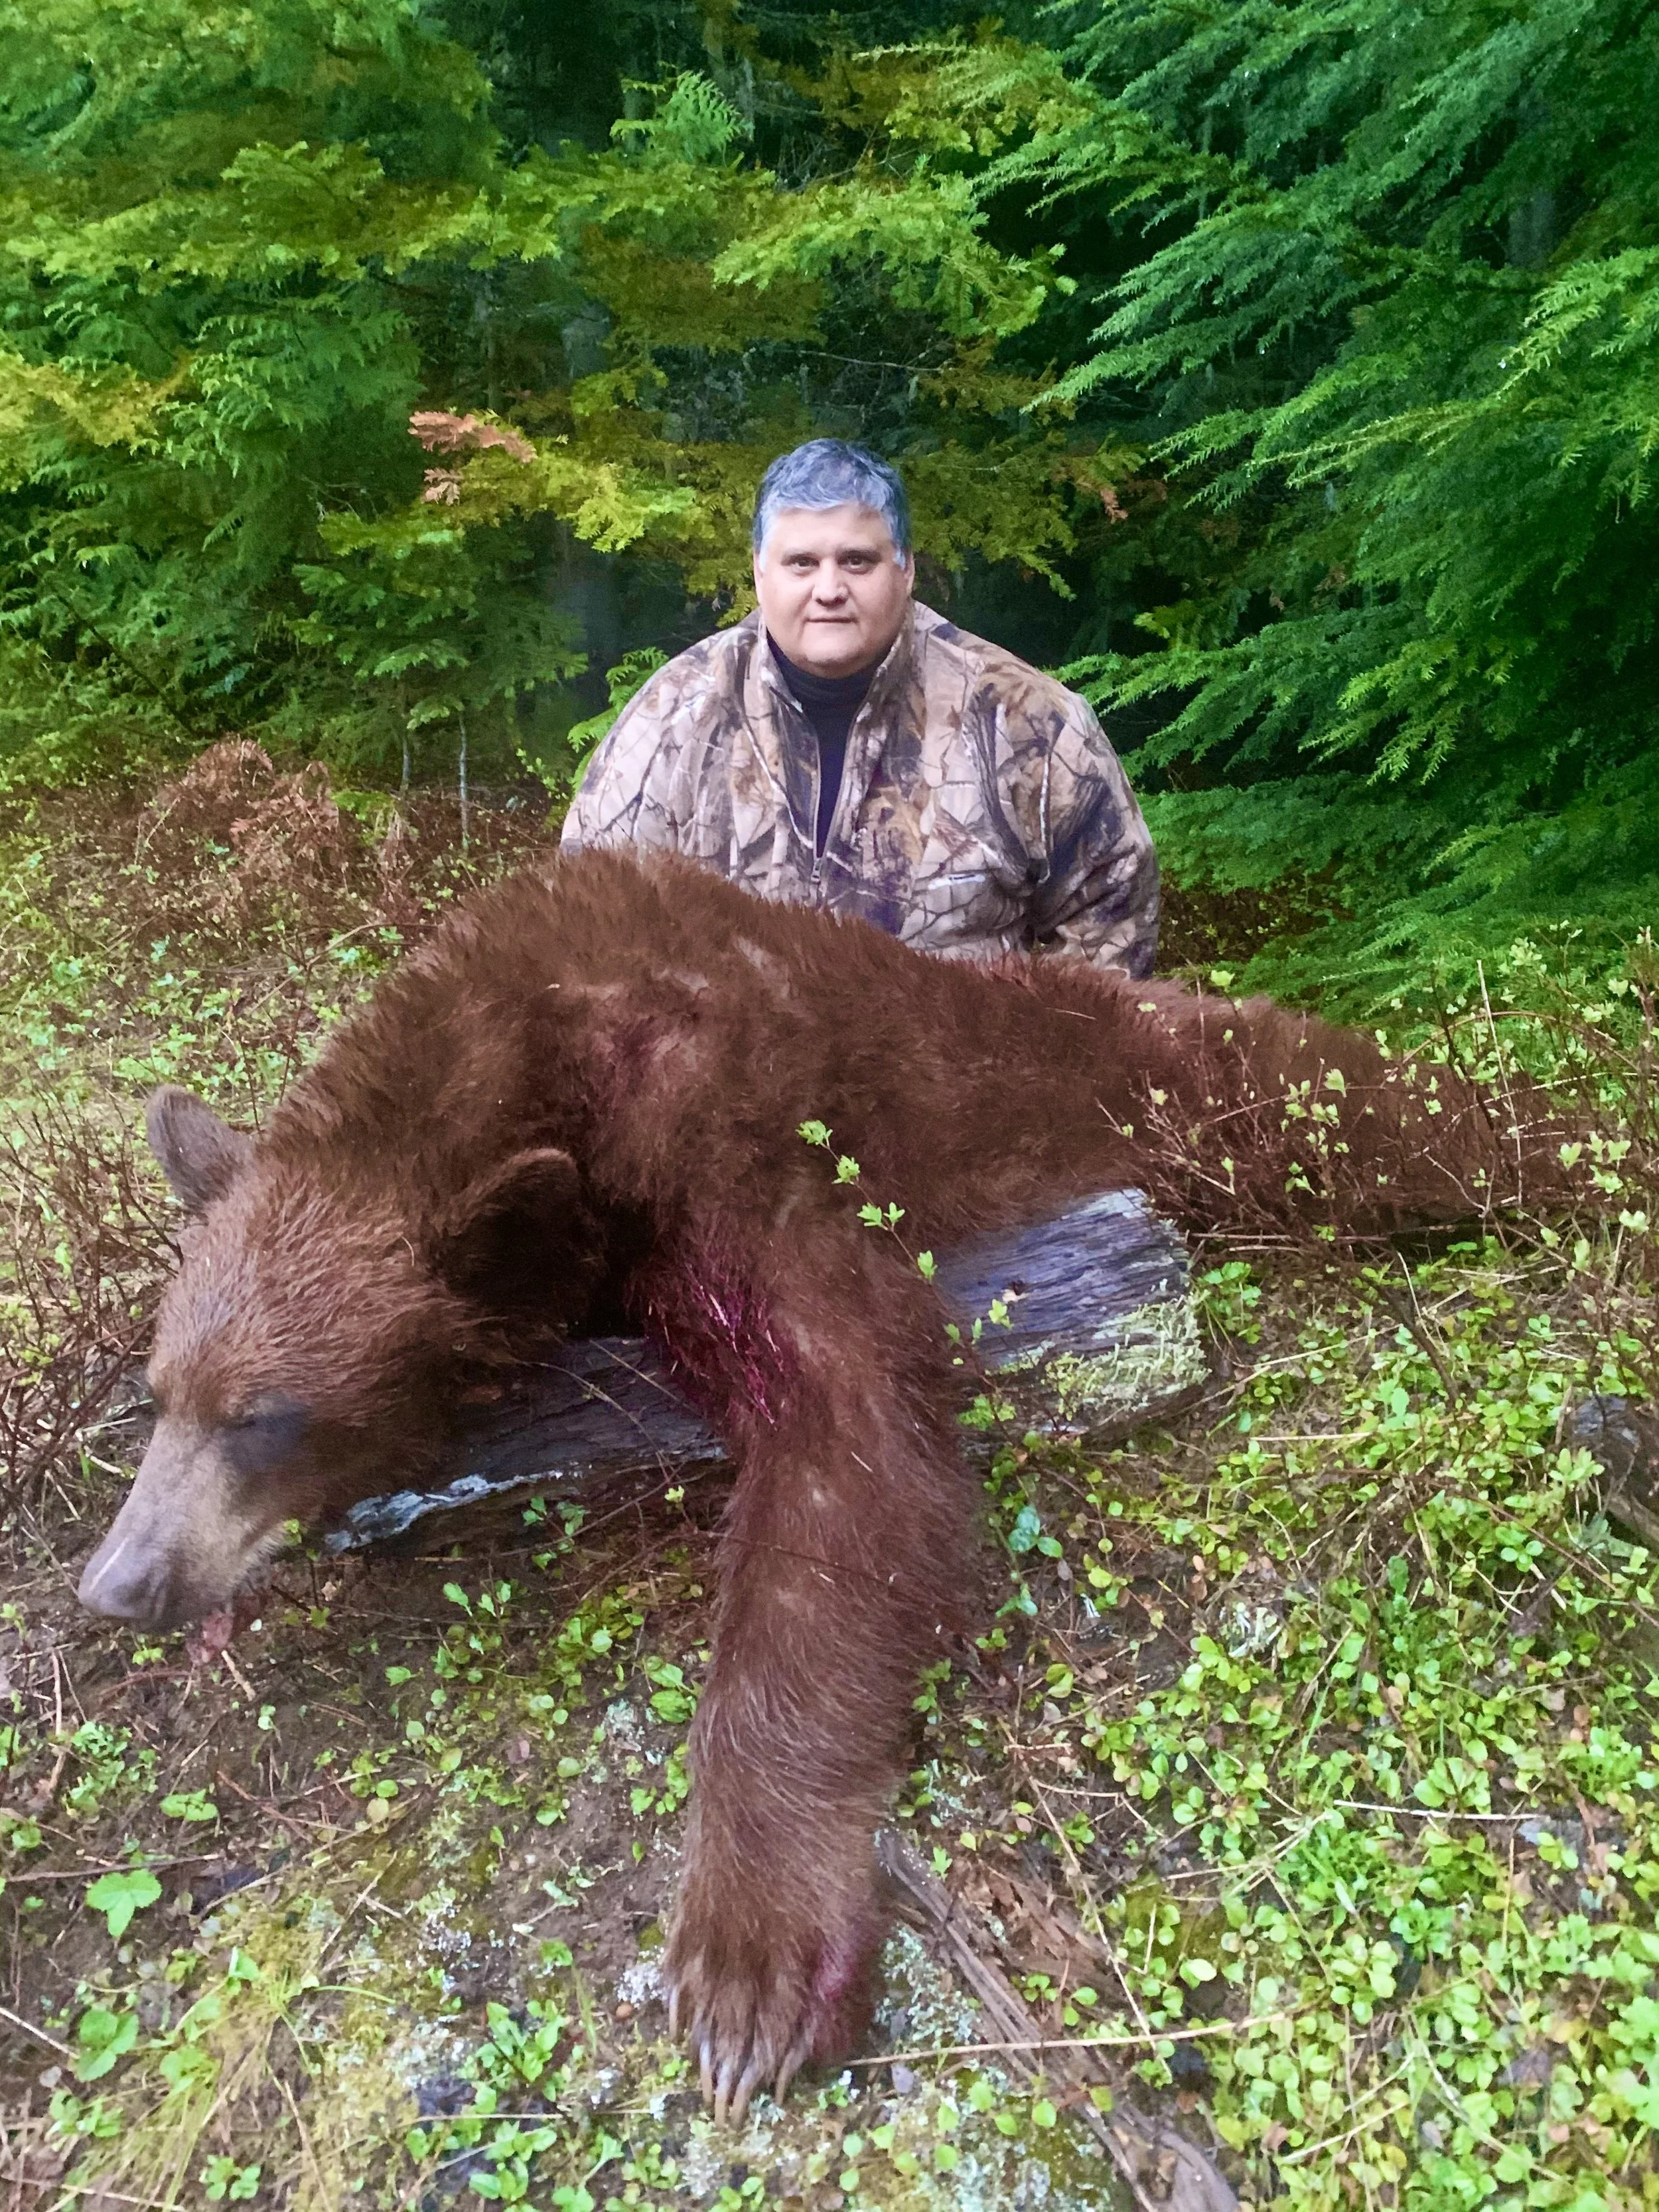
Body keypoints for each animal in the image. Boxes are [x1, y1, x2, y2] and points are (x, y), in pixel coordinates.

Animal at [76, 848, 1556, 2120]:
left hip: (1210, 1085)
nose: (121, 1580)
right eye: (161, 1393)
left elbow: (845, 1432)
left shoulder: (725, 1121)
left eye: (264, 1417)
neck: (527, 1039)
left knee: (1392, 1117)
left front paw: (751, 1965)